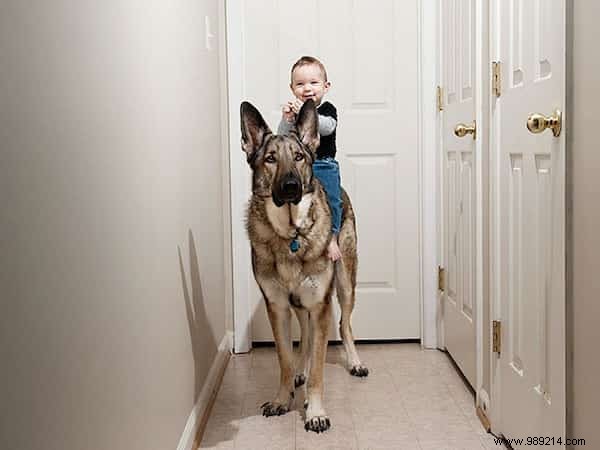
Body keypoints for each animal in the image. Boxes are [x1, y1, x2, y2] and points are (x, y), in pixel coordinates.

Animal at [241, 99, 368, 432]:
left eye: (298, 157)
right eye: (270, 159)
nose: (290, 186)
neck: (291, 235)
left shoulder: (320, 304)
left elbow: (320, 370)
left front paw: (316, 412)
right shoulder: (277, 307)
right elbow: (285, 358)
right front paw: (283, 399)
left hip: (345, 285)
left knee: (344, 324)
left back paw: (355, 362)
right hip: (300, 304)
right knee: (308, 337)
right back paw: (302, 369)